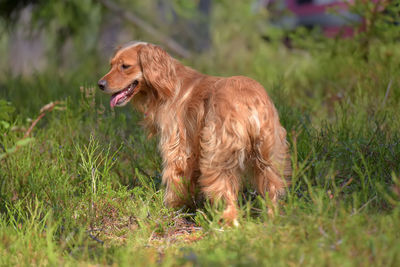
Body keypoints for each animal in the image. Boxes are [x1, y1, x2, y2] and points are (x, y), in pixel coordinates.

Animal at [97, 42, 290, 226]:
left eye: (125, 66)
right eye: (111, 64)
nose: (100, 84)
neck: (168, 82)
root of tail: (249, 100)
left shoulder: (177, 148)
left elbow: (174, 180)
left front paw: (171, 208)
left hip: (218, 158)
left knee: (226, 195)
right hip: (268, 158)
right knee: (271, 191)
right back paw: (271, 221)